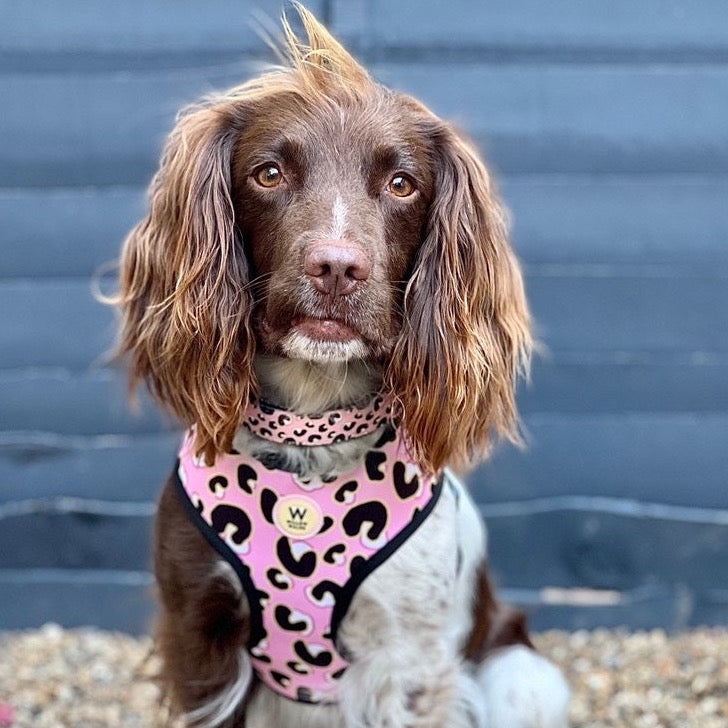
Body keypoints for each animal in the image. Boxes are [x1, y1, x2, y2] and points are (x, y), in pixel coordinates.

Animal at [115, 5, 568, 728]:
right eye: (269, 174)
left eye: (401, 184)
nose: (335, 266)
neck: (311, 434)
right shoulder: (198, 633)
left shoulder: (408, 661)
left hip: (524, 678)